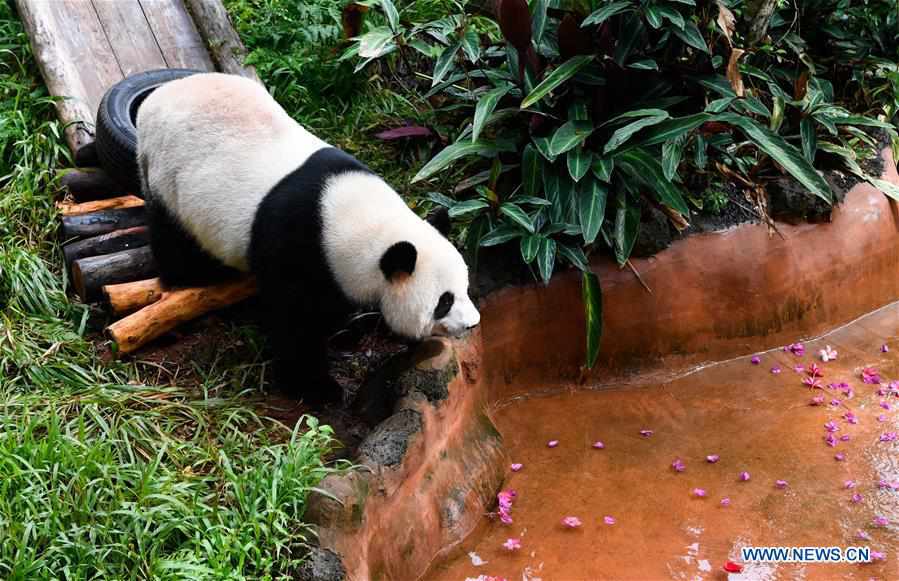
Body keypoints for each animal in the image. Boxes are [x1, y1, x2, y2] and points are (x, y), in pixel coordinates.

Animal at [137, 72, 482, 404]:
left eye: (465, 287)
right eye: (444, 302)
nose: (473, 323)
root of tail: (155, 98)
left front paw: (346, 332)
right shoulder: (293, 243)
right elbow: (294, 322)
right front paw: (318, 389)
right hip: (166, 173)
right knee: (173, 236)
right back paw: (194, 275)